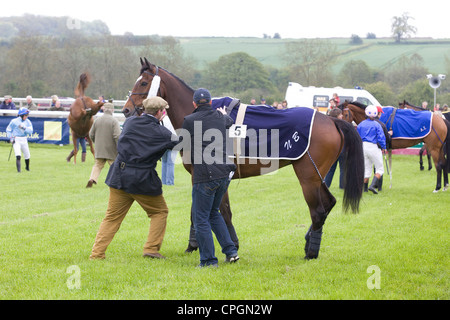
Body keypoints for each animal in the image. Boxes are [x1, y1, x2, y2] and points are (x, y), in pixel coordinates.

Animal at [122, 58, 366, 260]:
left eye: (143, 83)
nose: (125, 110)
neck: (200, 115)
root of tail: (331, 120)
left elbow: (221, 211)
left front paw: (229, 245)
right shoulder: (203, 177)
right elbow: (200, 210)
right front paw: (194, 245)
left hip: (308, 176)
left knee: (318, 210)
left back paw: (310, 252)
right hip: (318, 175)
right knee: (329, 203)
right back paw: (309, 242)